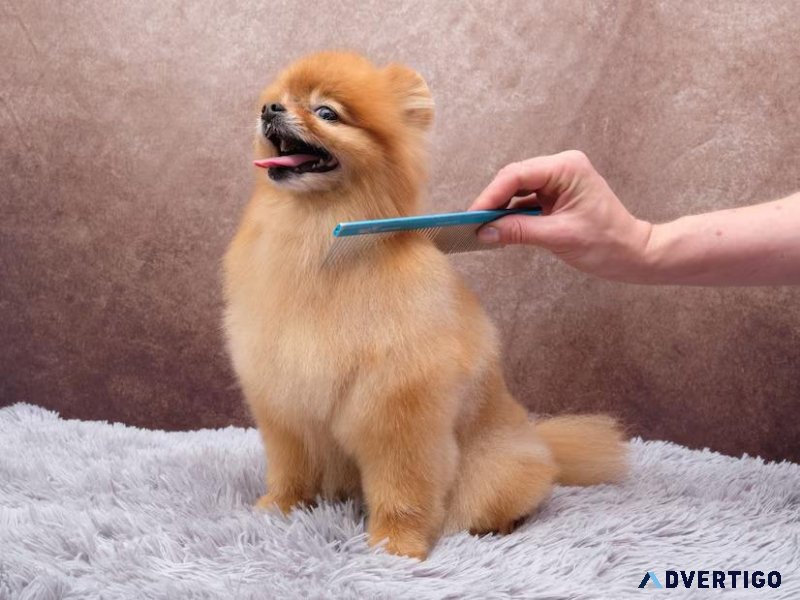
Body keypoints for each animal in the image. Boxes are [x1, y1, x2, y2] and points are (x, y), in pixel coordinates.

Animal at [223, 50, 624, 556]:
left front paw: (396, 545)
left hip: (494, 472)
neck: (315, 237)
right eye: (279, 98)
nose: (270, 109)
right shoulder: (283, 400)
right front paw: (280, 506)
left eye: (326, 113)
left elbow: (404, 486)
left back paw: (501, 525)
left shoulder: (401, 409)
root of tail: (536, 438)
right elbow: (291, 466)